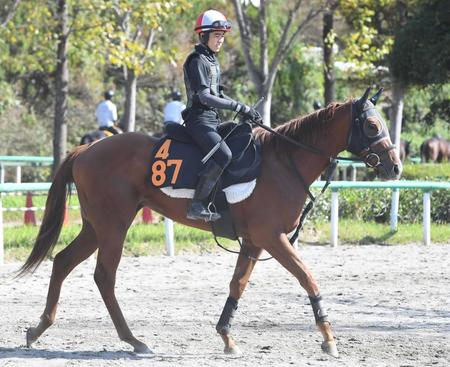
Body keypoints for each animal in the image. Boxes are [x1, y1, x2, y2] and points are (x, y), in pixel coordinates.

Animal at [19, 89, 402, 360]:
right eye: (371, 125)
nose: (395, 167)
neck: (285, 160)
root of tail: (86, 150)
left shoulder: (255, 241)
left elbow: (238, 285)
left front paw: (227, 337)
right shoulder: (273, 238)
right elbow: (307, 277)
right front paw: (328, 338)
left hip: (96, 227)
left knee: (63, 261)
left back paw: (39, 329)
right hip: (113, 226)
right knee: (104, 277)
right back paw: (133, 340)